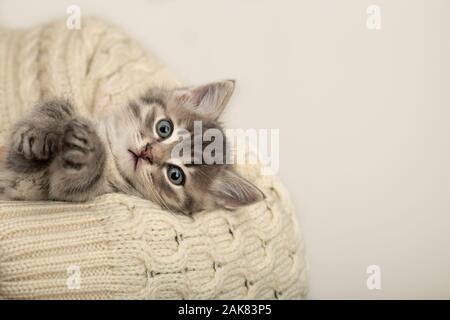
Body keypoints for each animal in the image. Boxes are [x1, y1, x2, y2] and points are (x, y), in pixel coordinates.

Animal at [0, 81, 264, 214]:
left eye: (175, 175)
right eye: (164, 128)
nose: (147, 153)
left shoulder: (75, 192)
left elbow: (74, 182)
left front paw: (89, 153)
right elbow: (54, 108)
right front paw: (40, 131)